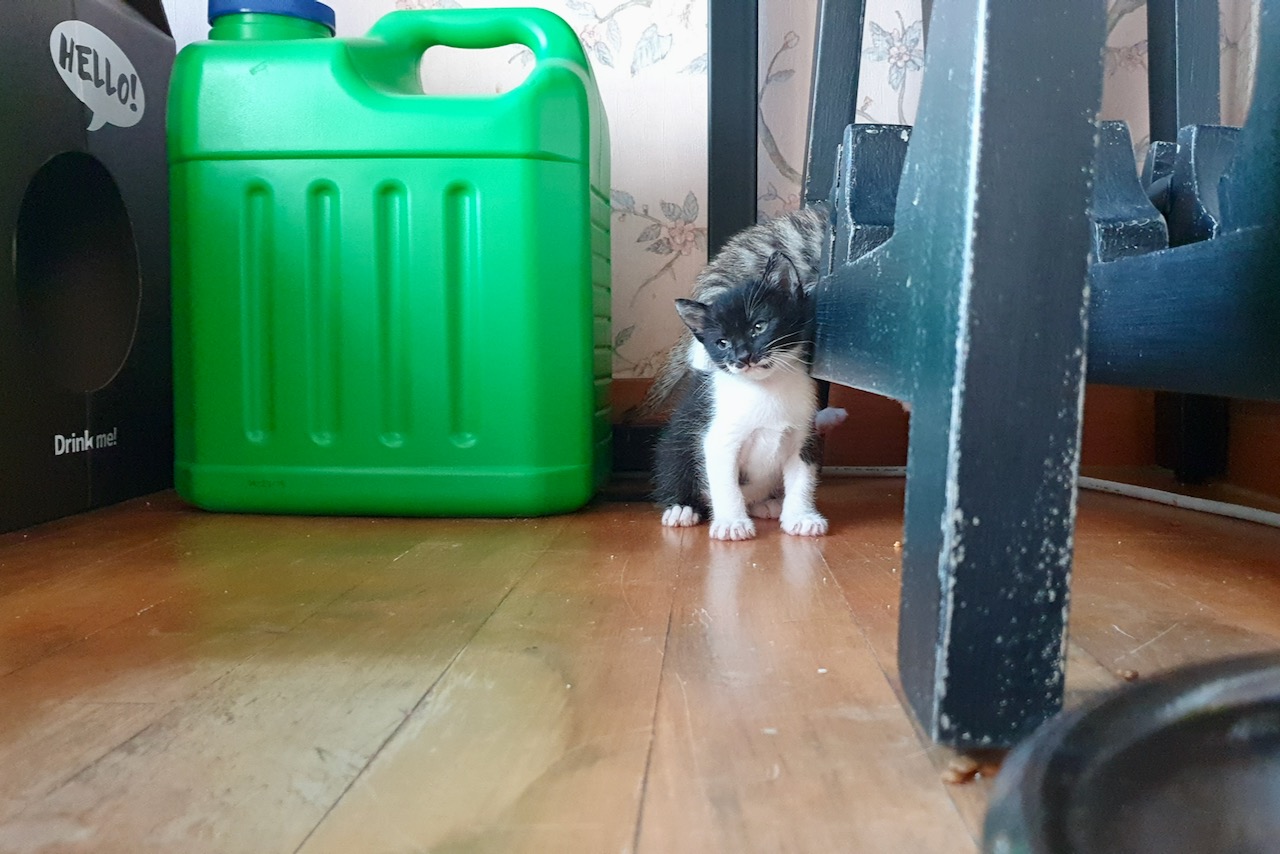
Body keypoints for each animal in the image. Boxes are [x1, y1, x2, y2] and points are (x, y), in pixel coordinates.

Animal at [653, 251, 828, 541]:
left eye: (759, 326)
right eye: (722, 343)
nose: (743, 356)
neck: (767, 388)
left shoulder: (804, 435)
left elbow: (802, 478)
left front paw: (801, 517)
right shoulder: (719, 440)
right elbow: (726, 484)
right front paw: (731, 522)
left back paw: (765, 503)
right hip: (676, 443)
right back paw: (681, 508)